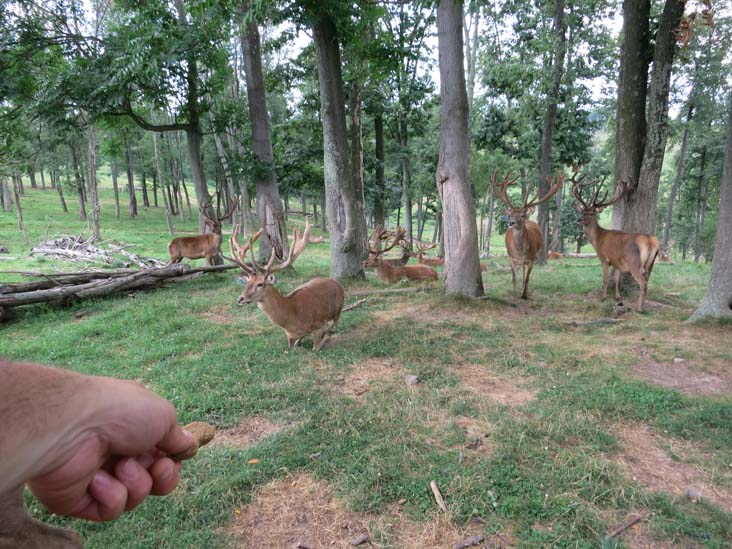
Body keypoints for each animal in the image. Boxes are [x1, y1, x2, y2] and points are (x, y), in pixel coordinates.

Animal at [228, 217, 345, 351]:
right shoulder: (289, 337)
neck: (293, 319)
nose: (240, 299)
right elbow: (293, 345)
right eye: (247, 282)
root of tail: (337, 283)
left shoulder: (318, 325)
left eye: (260, 284)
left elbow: (316, 346)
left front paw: (325, 338)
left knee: (333, 323)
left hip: (338, 311)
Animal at [493, 169, 565, 302]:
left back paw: (524, 290)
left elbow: (527, 278)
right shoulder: (511, 258)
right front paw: (514, 298)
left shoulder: (532, 259)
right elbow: (513, 278)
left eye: (522, 215)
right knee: (522, 271)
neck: (520, 252)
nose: (511, 223)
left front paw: (524, 295)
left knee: (526, 273)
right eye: (510, 214)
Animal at [572, 173, 661, 312]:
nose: (579, 220)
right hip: (650, 264)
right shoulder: (617, 261)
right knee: (647, 281)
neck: (598, 239)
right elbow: (617, 278)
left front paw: (603, 297)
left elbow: (606, 278)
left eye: (591, 213)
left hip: (634, 262)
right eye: (582, 211)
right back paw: (642, 304)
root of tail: (651, 241)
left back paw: (639, 308)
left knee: (643, 283)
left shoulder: (604, 257)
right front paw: (618, 297)